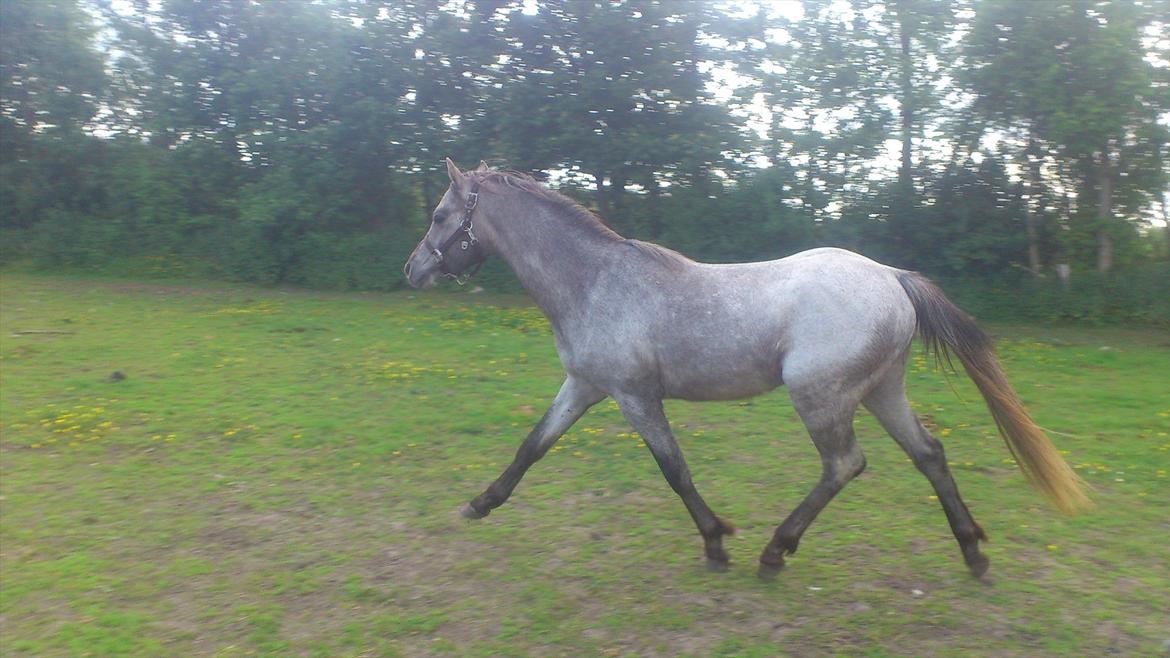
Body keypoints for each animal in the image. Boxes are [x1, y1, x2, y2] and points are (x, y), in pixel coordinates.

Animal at [403, 158, 1090, 578]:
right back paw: (972, 552)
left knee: (845, 465)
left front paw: (715, 542)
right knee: (930, 455)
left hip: (820, 396)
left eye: (439, 216)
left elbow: (675, 471)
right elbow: (531, 446)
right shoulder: (585, 387)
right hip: (881, 391)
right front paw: (479, 504)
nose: (414, 269)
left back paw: (775, 552)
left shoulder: (633, 396)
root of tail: (892, 278)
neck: (594, 283)